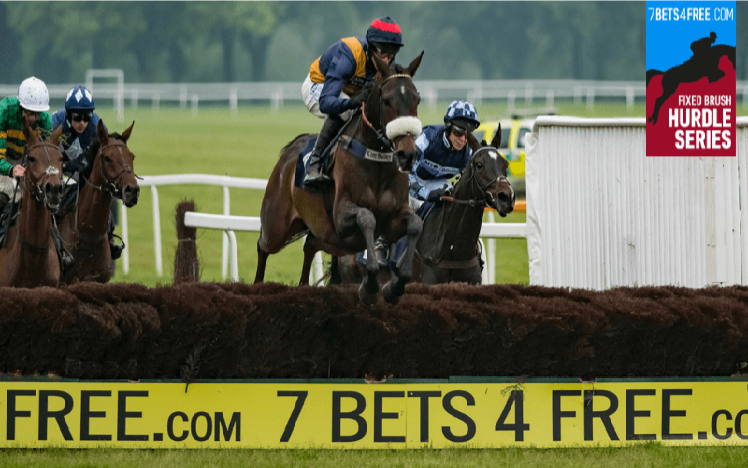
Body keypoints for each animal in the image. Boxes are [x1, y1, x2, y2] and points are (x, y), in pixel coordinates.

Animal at [254, 53, 424, 306]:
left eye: (417, 99)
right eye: (386, 100)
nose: (407, 154)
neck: (376, 161)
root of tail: (290, 151)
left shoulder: (393, 219)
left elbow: (414, 224)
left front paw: (394, 286)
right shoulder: (342, 216)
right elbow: (367, 218)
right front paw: (369, 287)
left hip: (327, 236)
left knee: (309, 246)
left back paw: (303, 286)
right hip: (278, 224)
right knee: (263, 246)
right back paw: (257, 285)